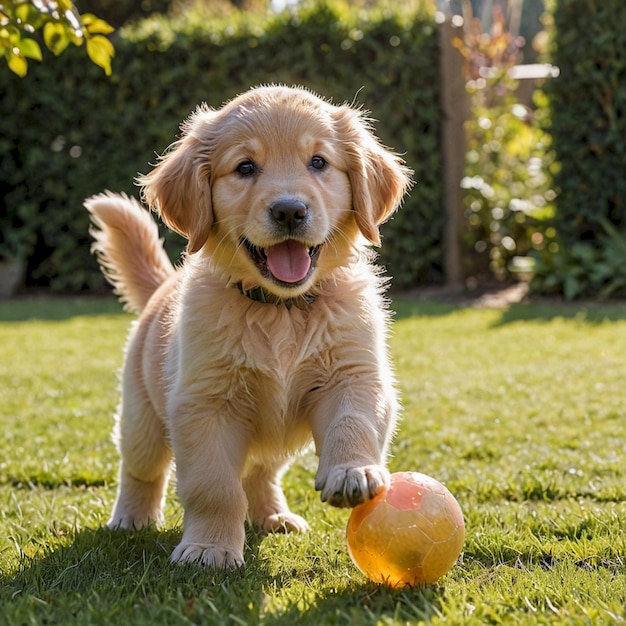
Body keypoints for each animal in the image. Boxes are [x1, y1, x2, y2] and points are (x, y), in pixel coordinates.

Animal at [85, 84, 412, 564]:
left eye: (318, 162)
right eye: (245, 167)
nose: (290, 211)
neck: (280, 310)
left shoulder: (355, 373)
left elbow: (353, 421)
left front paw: (353, 472)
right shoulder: (204, 403)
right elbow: (214, 487)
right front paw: (209, 548)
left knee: (260, 472)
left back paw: (273, 516)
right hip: (141, 416)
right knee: (141, 468)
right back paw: (131, 518)